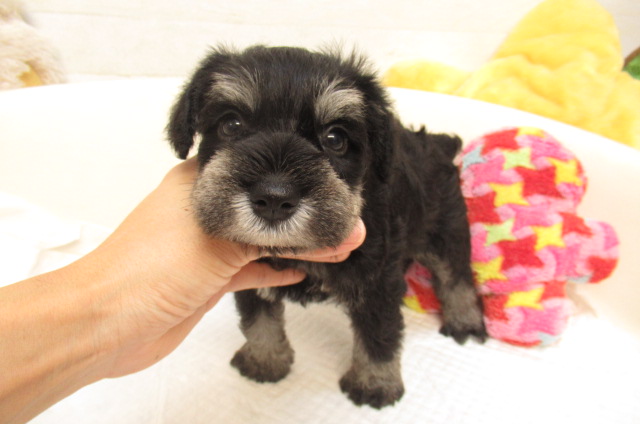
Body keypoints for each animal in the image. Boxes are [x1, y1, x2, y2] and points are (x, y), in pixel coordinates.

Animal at [166, 45, 487, 409]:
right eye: (231, 124)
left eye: (335, 138)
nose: (274, 198)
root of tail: (436, 144)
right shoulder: (249, 278)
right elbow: (257, 320)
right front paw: (265, 359)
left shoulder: (378, 285)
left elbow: (379, 335)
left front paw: (375, 383)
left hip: (446, 229)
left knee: (456, 277)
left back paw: (464, 320)